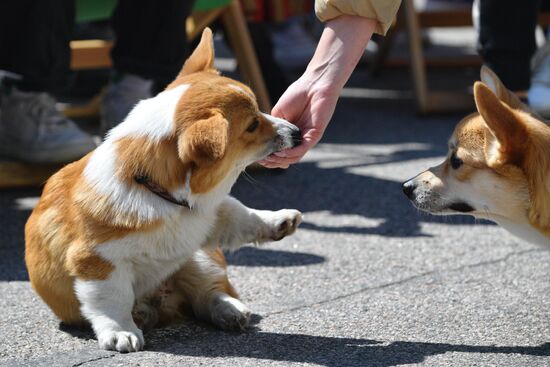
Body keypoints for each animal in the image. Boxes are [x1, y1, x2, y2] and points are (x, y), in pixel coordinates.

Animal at [24, 27, 302, 352]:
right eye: (252, 125)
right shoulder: (97, 262)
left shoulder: (206, 219)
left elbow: (240, 215)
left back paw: (230, 308)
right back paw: (144, 314)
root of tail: (166, 300)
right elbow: (113, 301)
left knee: (207, 292)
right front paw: (121, 332)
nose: (297, 132)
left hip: (198, 258)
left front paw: (278, 220)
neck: (157, 192)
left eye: (259, 112)